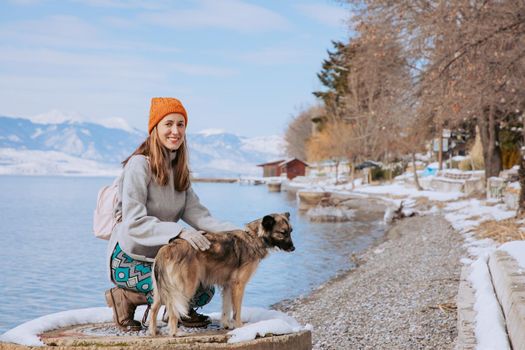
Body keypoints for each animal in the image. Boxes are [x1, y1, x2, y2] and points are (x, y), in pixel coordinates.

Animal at [148, 212, 294, 334]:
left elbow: (226, 308)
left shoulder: (228, 286)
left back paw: (153, 331)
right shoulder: (238, 285)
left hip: (162, 289)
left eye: (291, 231)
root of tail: (167, 248)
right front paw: (240, 327)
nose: (293, 248)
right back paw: (175, 333)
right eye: (282, 232)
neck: (253, 237)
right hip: (184, 289)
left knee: (154, 308)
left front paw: (226, 325)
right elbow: (236, 310)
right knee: (172, 311)